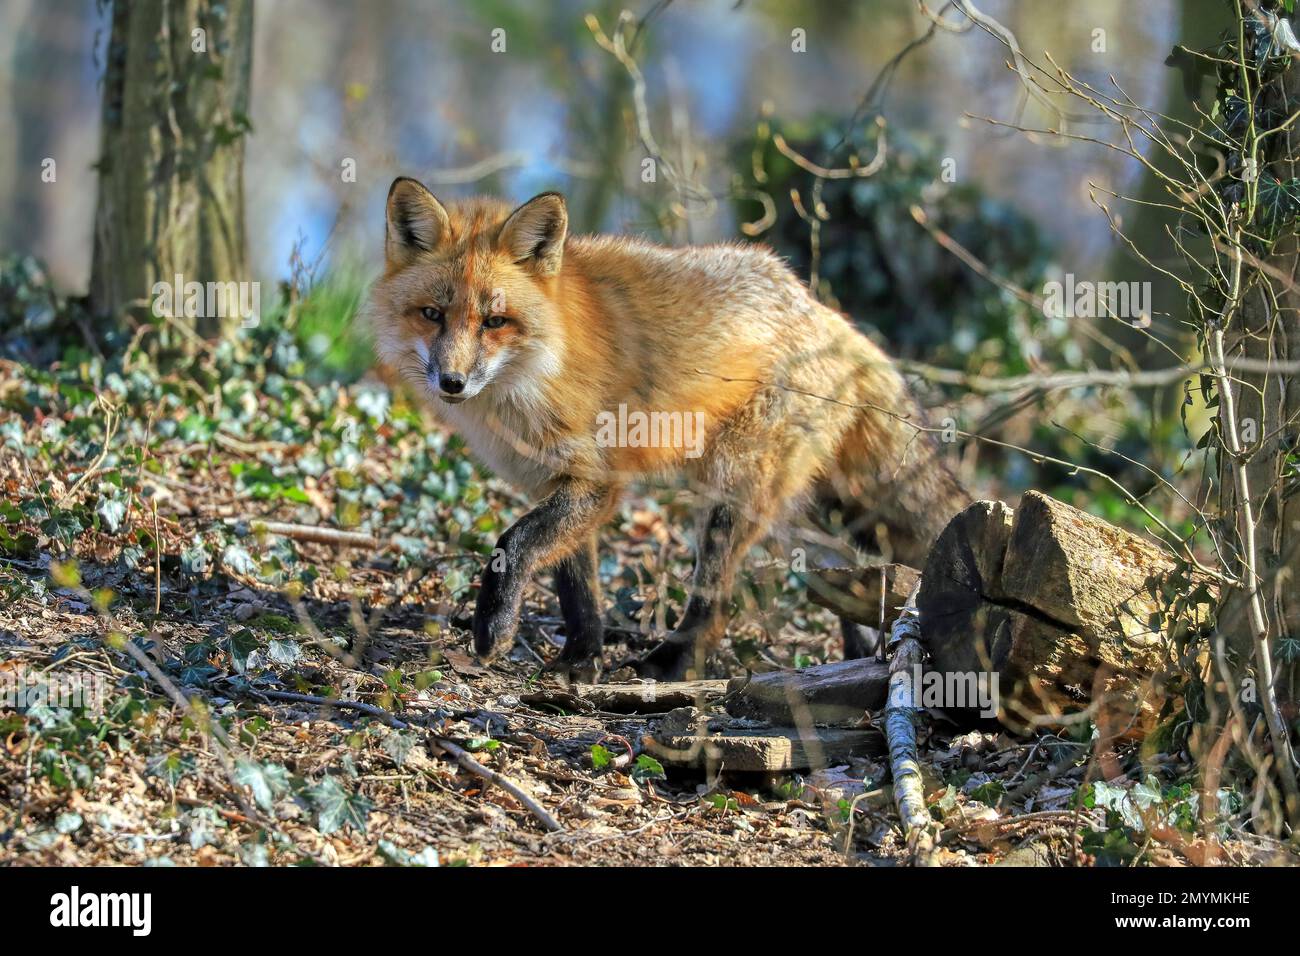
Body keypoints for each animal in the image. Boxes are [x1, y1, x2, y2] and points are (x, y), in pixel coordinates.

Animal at [366, 177, 970, 680]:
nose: (452, 382)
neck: (538, 368)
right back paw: (853, 657)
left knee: (717, 602)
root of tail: (825, 312)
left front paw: (494, 630)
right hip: (793, 514)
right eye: (432, 314)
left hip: (732, 492)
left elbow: (514, 543)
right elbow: (576, 587)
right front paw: (579, 660)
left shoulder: (597, 480)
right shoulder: (557, 482)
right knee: (839, 572)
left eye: (494, 322)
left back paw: (673, 663)